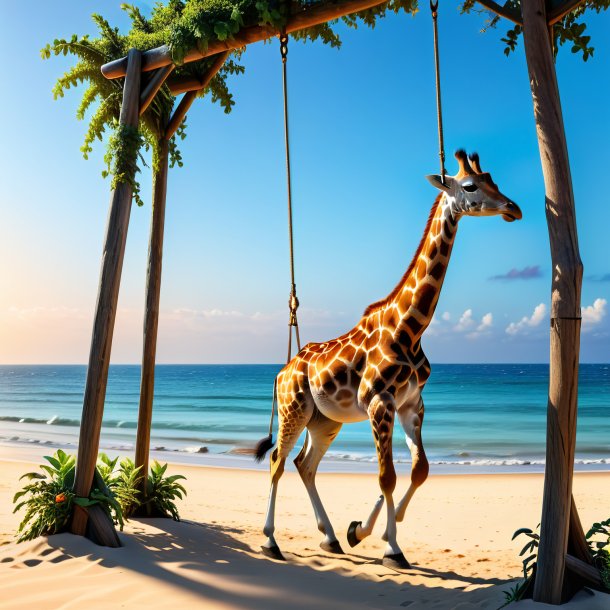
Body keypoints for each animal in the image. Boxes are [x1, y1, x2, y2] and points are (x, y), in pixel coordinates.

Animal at [254, 150, 520, 568]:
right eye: (471, 186)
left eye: (494, 180)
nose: (513, 208)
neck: (410, 327)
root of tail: (282, 372)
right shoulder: (380, 402)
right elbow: (387, 476)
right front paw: (391, 548)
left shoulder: (412, 404)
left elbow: (419, 470)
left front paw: (361, 531)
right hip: (293, 408)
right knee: (278, 462)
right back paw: (270, 541)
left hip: (325, 420)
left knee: (304, 465)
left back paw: (331, 537)